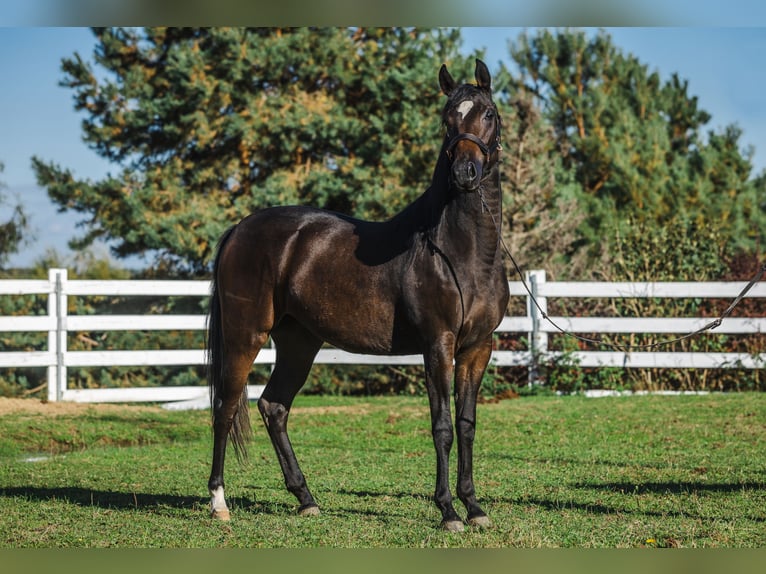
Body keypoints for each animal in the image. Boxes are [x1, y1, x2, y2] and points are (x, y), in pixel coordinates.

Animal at [207, 59, 512, 536]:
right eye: (447, 119)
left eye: (488, 113)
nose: (465, 173)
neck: (460, 251)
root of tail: (240, 228)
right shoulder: (437, 345)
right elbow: (441, 426)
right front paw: (447, 511)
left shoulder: (478, 347)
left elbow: (466, 424)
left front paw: (474, 507)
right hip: (245, 336)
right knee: (225, 406)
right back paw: (219, 503)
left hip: (299, 342)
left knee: (274, 406)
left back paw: (306, 499)